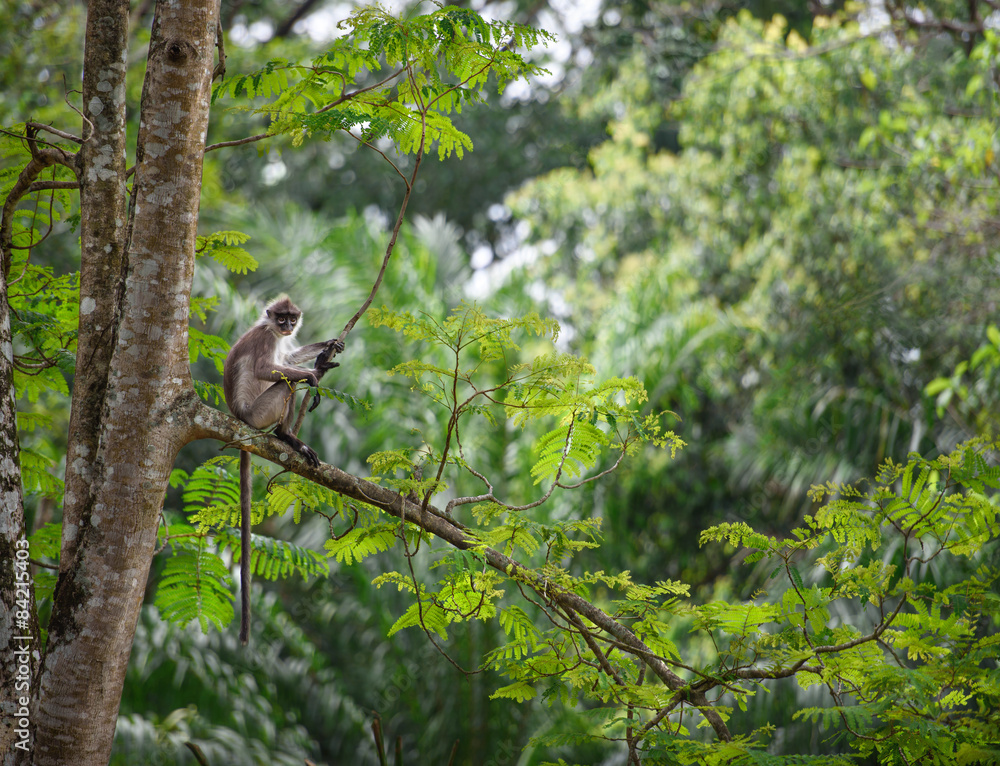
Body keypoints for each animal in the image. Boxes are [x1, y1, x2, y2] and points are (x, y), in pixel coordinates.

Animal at [222, 296, 344, 644]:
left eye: (291, 319)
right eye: (281, 319)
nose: (287, 327)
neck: (271, 330)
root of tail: (239, 417)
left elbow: (287, 357)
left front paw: (328, 345)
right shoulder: (265, 336)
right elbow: (267, 369)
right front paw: (313, 372)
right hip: (258, 414)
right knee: (285, 382)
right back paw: (286, 434)